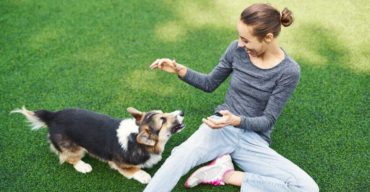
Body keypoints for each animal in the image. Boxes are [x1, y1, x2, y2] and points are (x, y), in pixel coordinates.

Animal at [11, 106, 185, 183]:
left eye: (163, 113)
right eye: (163, 120)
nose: (182, 112)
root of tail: (53, 115)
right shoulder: (120, 164)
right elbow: (133, 170)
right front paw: (145, 176)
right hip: (75, 148)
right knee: (69, 158)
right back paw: (83, 166)